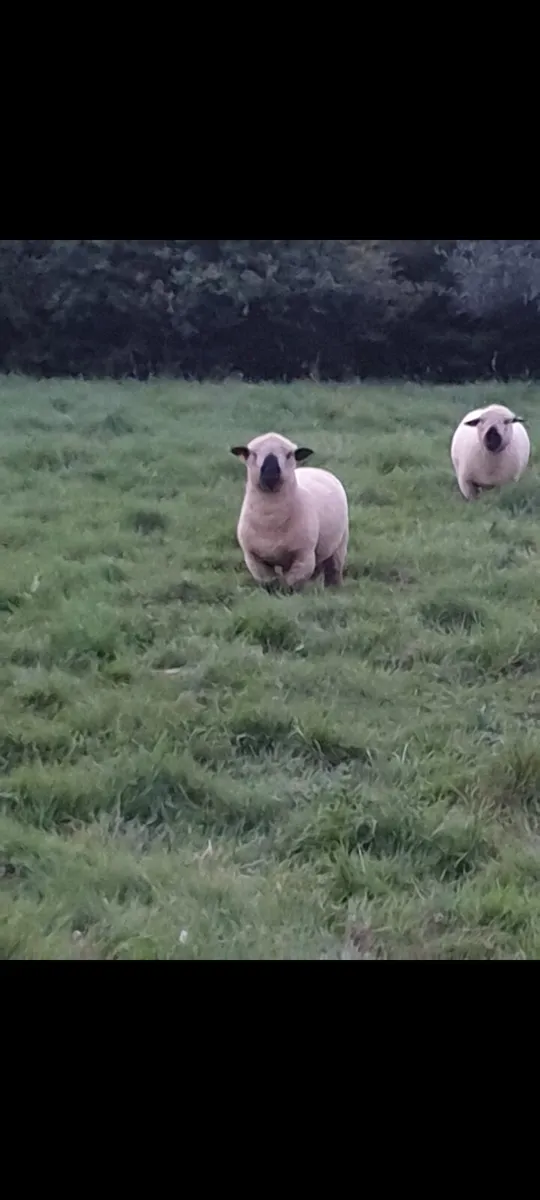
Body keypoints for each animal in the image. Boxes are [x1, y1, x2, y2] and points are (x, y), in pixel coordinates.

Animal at [231, 431, 349, 589]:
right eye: (252, 454)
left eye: (289, 455)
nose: (270, 475)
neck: (271, 521)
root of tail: (315, 469)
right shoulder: (254, 558)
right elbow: (269, 583)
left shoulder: (304, 556)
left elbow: (290, 585)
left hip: (340, 544)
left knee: (334, 570)